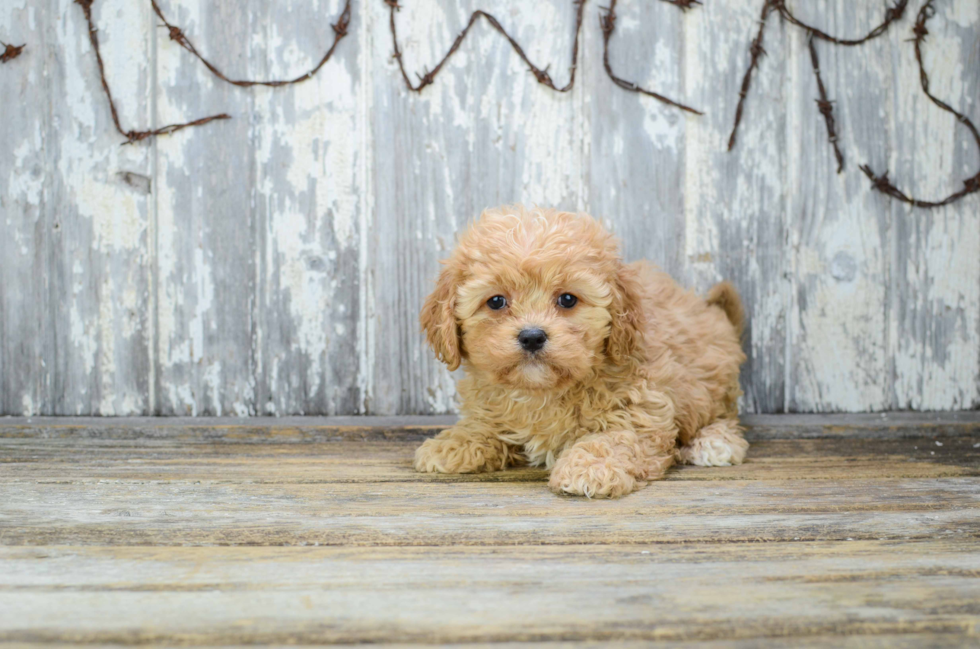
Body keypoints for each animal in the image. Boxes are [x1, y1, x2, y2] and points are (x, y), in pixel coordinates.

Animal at [412, 205, 744, 498]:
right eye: (496, 301)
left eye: (568, 299)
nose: (532, 336)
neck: (542, 392)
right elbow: (484, 422)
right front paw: (453, 443)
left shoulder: (643, 410)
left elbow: (614, 439)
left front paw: (590, 467)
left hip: (711, 379)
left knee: (724, 414)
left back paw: (714, 442)